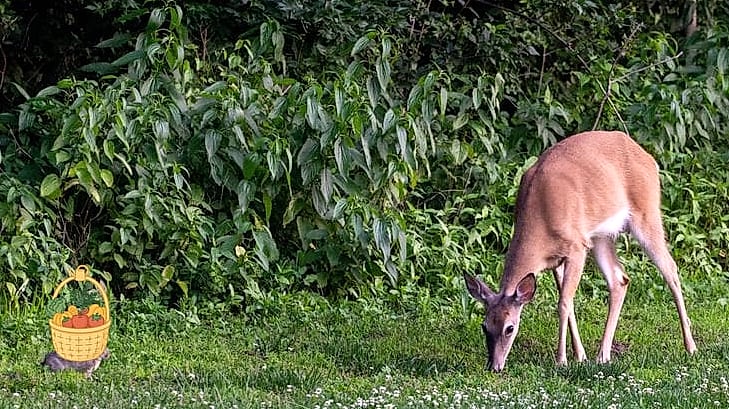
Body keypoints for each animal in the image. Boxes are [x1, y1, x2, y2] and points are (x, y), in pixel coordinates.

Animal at [464, 130, 697, 372]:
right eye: (485, 326)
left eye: (510, 327)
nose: (494, 366)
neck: (540, 218)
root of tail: (648, 156)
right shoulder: (556, 260)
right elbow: (569, 303)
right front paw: (580, 355)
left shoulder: (576, 248)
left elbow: (563, 303)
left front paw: (562, 360)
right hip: (601, 237)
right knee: (619, 279)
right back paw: (603, 355)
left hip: (646, 213)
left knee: (670, 269)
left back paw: (690, 346)